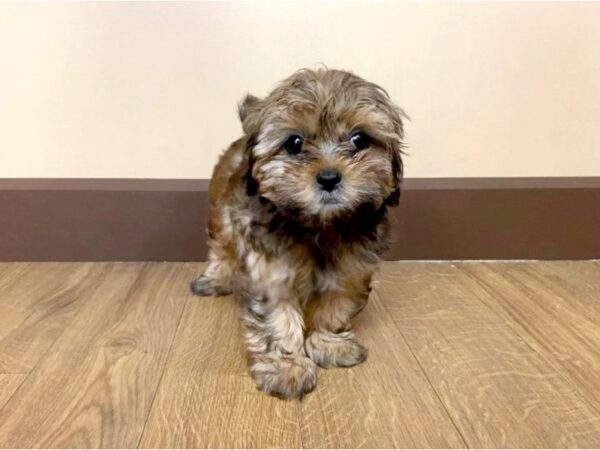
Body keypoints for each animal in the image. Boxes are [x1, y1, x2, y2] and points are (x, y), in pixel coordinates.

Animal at [192, 67, 406, 398]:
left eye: (359, 139)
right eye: (294, 143)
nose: (329, 177)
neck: (319, 225)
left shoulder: (351, 270)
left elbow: (334, 307)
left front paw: (330, 345)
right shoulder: (271, 271)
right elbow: (278, 320)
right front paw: (286, 367)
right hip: (220, 215)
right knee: (221, 247)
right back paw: (213, 279)